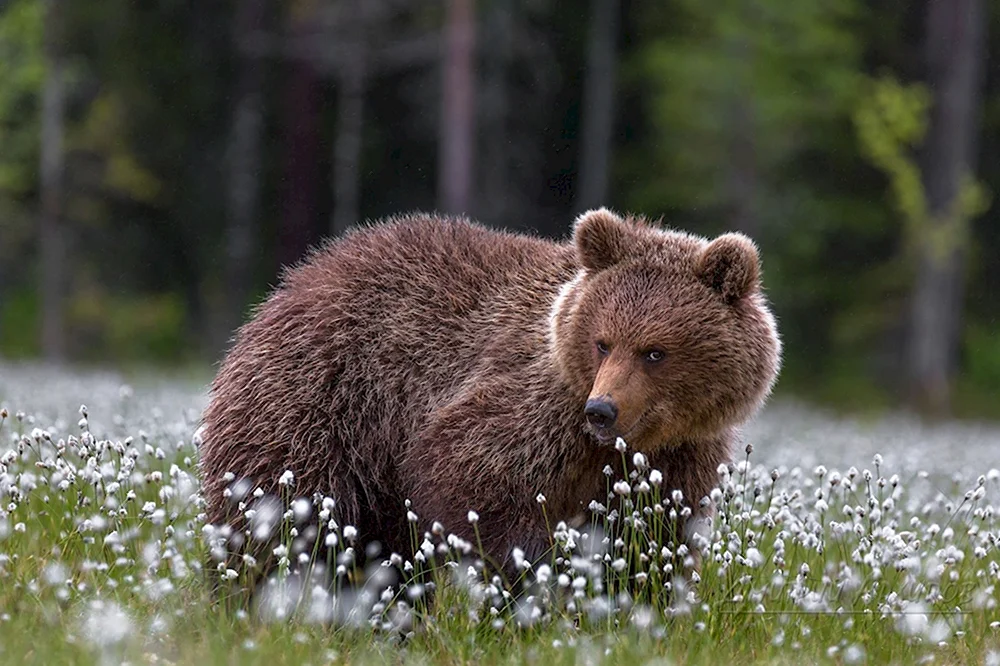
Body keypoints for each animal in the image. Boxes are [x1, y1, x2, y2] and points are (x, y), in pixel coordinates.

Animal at [199, 210, 780, 580]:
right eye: (602, 341)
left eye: (655, 351)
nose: (602, 410)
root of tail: (292, 282)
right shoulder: (532, 407)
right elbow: (471, 473)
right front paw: (528, 573)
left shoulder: (678, 454)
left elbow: (656, 535)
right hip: (323, 400)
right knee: (279, 508)